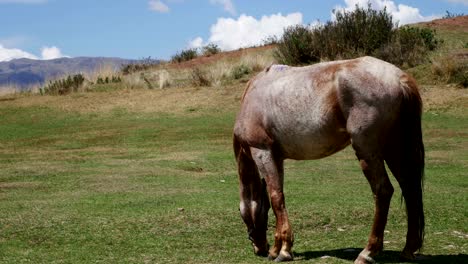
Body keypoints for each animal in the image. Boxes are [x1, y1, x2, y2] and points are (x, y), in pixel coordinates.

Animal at [233, 56, 424, 264]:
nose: (259, 248)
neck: (253, 94)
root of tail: (398, 78)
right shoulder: (277, 158)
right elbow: (278, 196)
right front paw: (277, 249)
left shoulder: (263, 152)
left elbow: (276, 197)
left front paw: (282, 251)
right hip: (394, 148)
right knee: (410, 188)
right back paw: (408, 249)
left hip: (368, 150)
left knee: (383, 191)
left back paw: (368, 252)